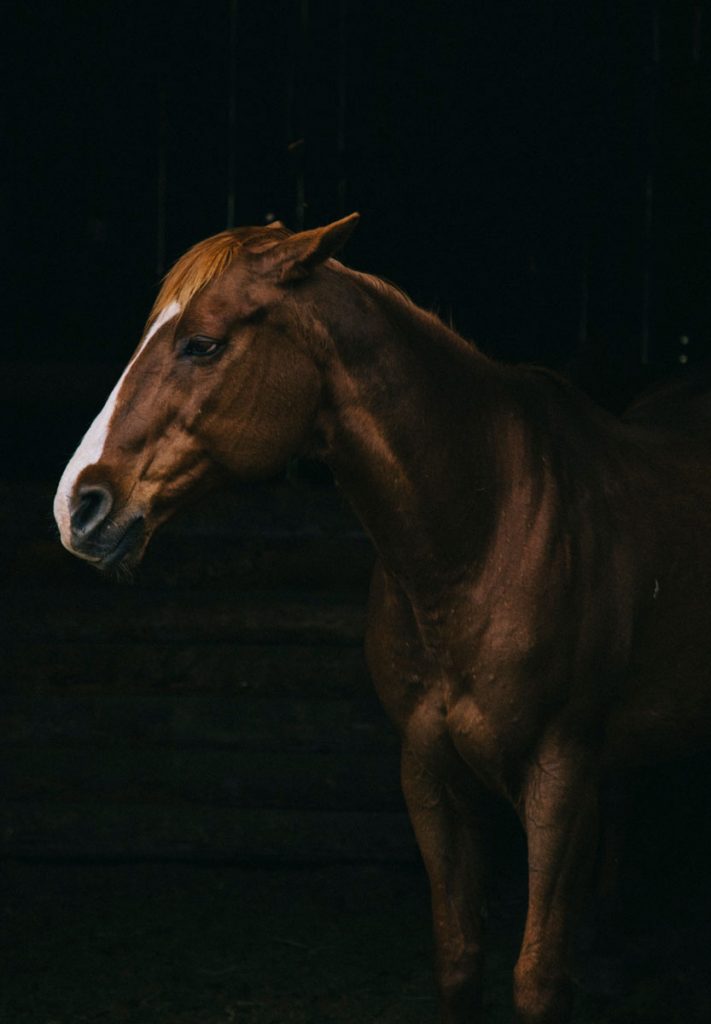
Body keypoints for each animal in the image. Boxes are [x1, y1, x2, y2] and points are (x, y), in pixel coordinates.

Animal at [54, 214, 711, 1023]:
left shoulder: (559, 780)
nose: (77, 506)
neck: (482, 532)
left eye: (201, 344)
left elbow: (536, 979)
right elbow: (458, 960)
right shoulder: (428, 774)